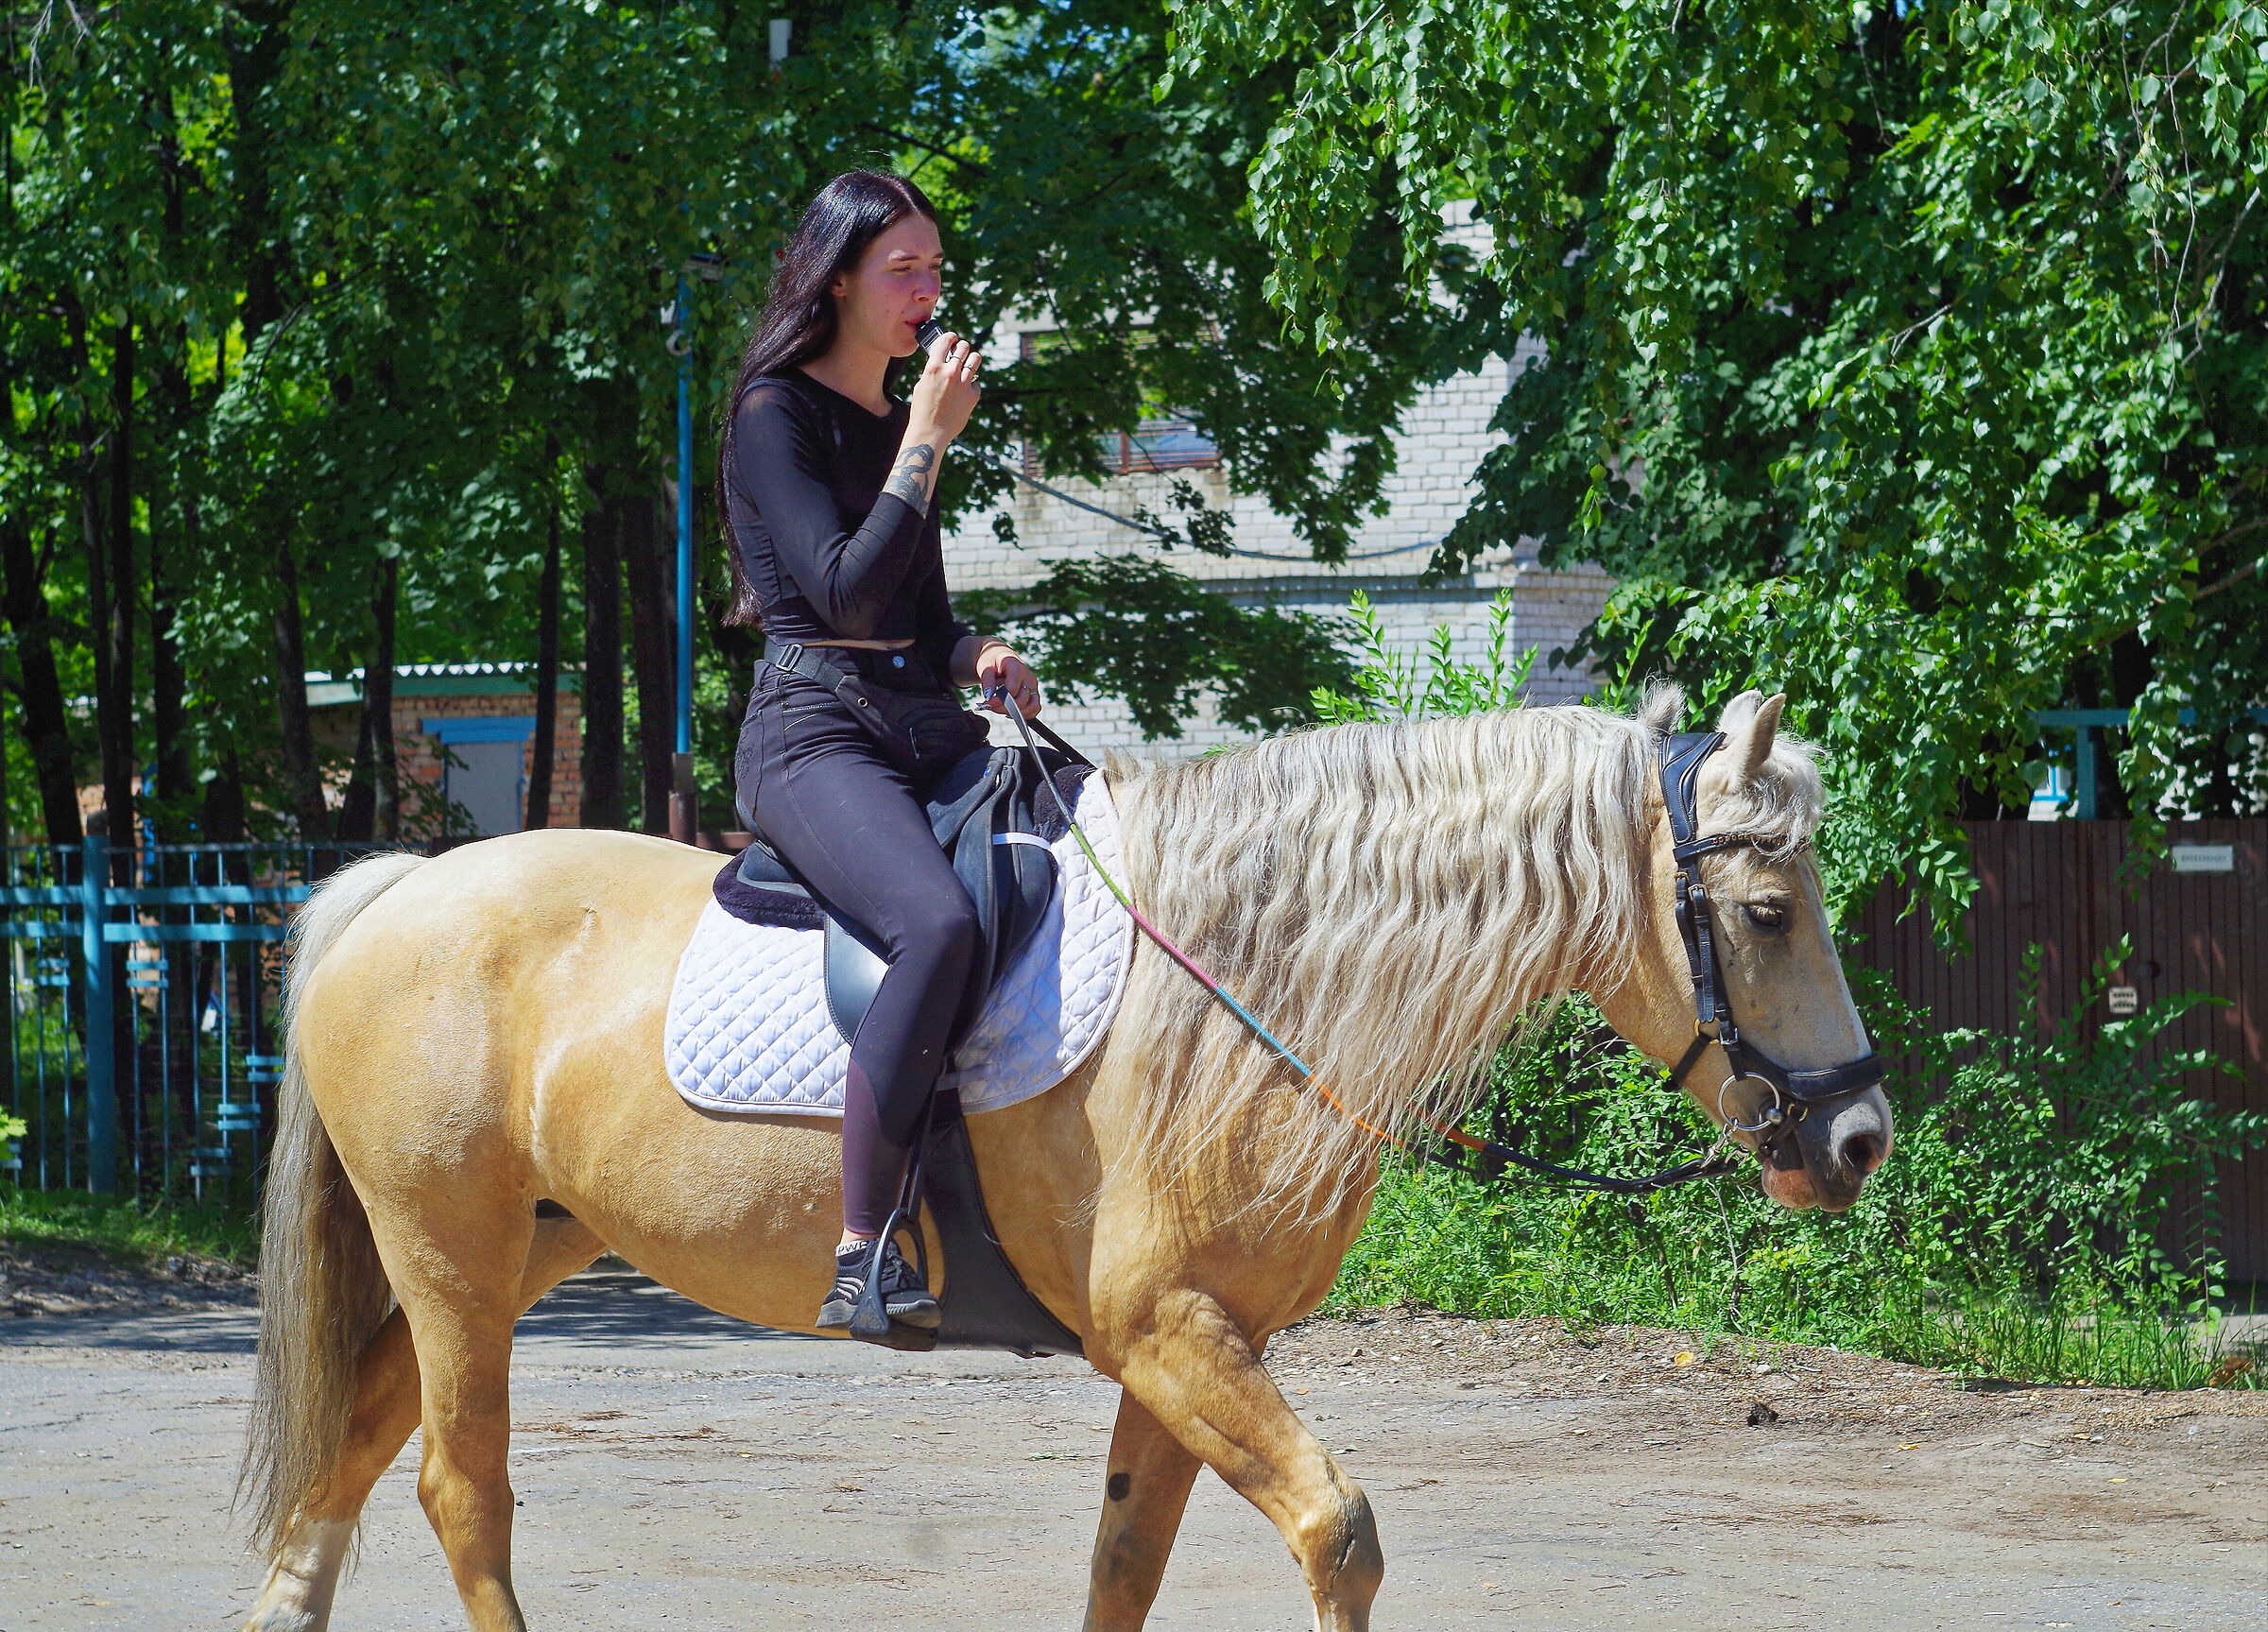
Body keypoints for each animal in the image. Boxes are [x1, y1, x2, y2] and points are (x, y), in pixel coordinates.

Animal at [236, 687, 1891, 1632]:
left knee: (360, 1434)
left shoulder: (1188, 1347)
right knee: (461, 1486)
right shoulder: (1168, 1329)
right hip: (453, 1256)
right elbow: (1338, 1531)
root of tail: (398, 891)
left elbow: (1126, 1562)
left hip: (518, 1246)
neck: (1231, 980)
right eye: (1763, 912)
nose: (1857, 1135)